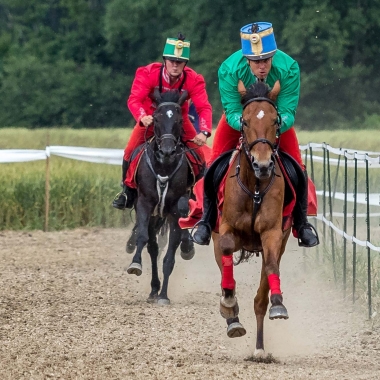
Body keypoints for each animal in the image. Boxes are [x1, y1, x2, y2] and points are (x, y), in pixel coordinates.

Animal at [126, 89, 196, 306]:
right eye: (156, 118)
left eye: (180, 120)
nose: (167, 150)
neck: (163, 166)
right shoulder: (145, 204)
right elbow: (143, 238)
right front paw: (135, 264)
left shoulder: (175, 211)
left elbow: (170, 255)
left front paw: (164, 295)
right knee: (153, 248)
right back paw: (153, 289)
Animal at [211, 79, 290, 356]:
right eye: (244, 121)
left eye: (276, 121)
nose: (263, 165)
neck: (255, 187)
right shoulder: (224, 229)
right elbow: (226, 250)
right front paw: (228, 303)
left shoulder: (273, 233)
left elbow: (271, 266)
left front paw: (278, 303)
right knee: (225, 273)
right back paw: (232, 317)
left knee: (259, 299)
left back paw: (259, 348)